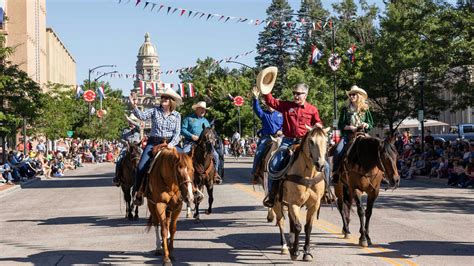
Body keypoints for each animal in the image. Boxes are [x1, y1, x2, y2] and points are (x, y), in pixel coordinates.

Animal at [270, 125, 330, 260]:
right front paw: (295, 252)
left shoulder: (314, 204)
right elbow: (298, 226)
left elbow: (308, 227)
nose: (320, 165)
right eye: (311, 141)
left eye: (326, 141)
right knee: (281, 221)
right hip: (277, 203)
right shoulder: (294, 203)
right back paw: (285, 247)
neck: (308, 174)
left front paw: (307, 252)